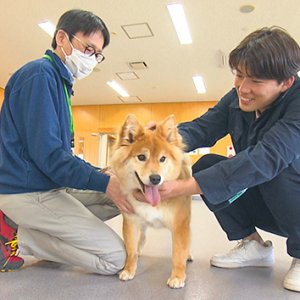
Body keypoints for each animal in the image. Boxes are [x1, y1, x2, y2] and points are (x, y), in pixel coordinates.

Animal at [109, 113, 191, 288]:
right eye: (141, 157)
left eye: (162, 158)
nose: (155, 178)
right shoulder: (131, 222)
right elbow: (131, 250)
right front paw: (128, 270)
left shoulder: (180, 224)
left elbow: (178, 253)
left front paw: (178, 276)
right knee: (143, 235)